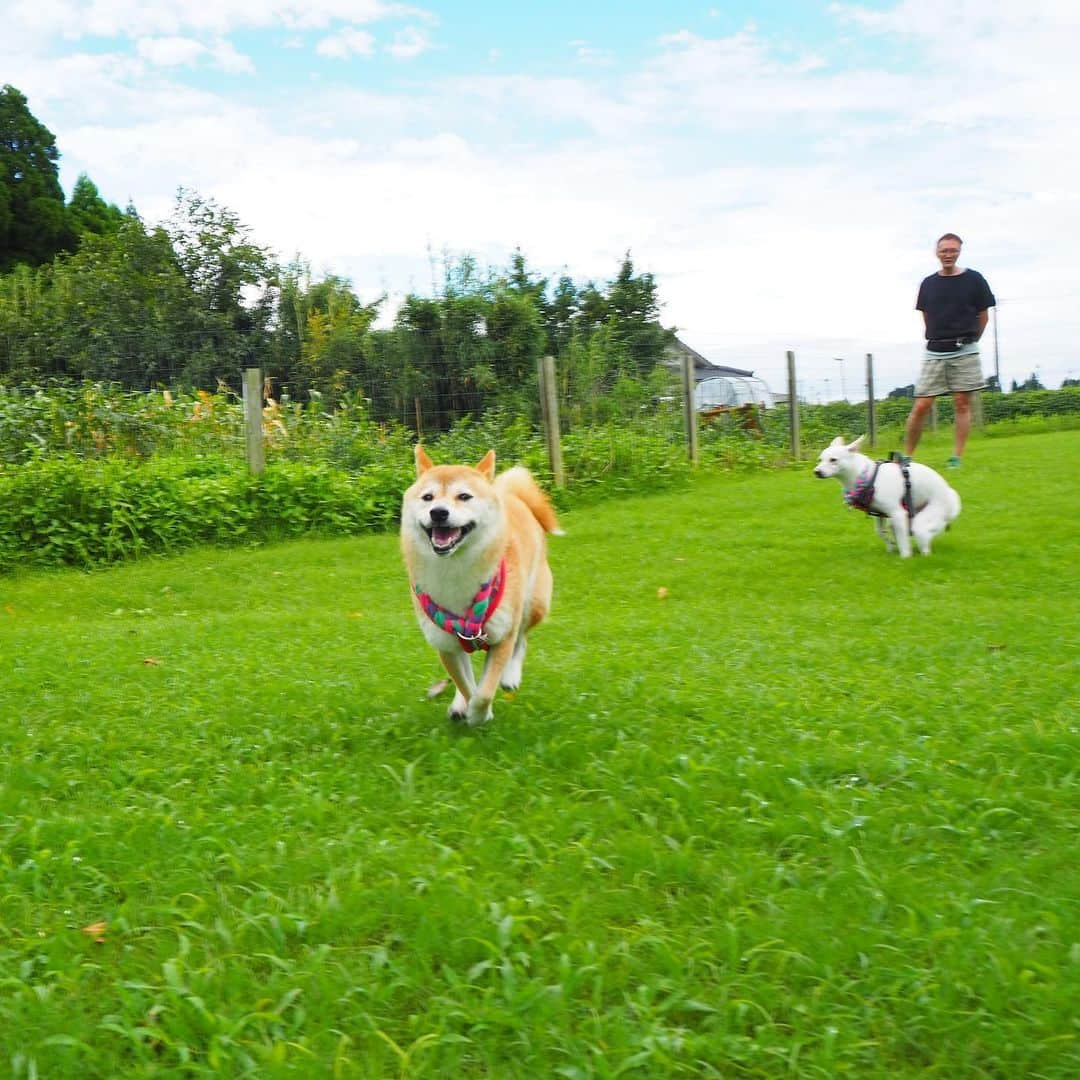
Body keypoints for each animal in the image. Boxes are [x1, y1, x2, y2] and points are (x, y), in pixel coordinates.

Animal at [401, 447, 561, 725]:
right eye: (428, 497)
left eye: (464, 496)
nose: (438, 512)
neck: (454, 570)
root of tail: (508, 493)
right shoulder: (446, 645)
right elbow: (467, 685)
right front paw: (467, 706)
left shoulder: (502, 636)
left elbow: (485, 692)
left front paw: (478, 715)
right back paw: (458, 703)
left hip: (533, 604)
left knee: (522, 639)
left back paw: (510, 676)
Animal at [812, 436, 959, 561]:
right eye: (820, 460)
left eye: (833, 460)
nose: (816, 472)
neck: (865, 476)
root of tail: (950, 496)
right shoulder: (880, 515)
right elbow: (880, 532)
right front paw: (891, 546)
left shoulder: (898, 513)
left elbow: (903, 540)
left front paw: (905, 556)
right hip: (900, 519)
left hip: (921, 522)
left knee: (926, 537)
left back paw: (924, 553)